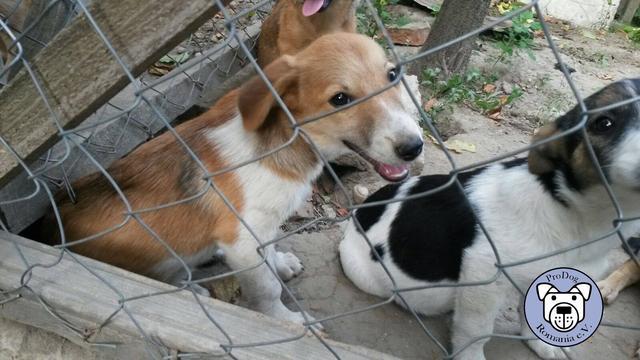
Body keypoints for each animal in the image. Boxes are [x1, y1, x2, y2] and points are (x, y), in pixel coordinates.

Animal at [46, 33, 424, 324]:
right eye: (340, 99)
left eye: (393, 74)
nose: (414, 146)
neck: (287, 140)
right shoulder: (242, 239)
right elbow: (267, 289)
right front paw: (286, 321)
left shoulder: (261, 227)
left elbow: (269, 255)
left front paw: (281, 263)